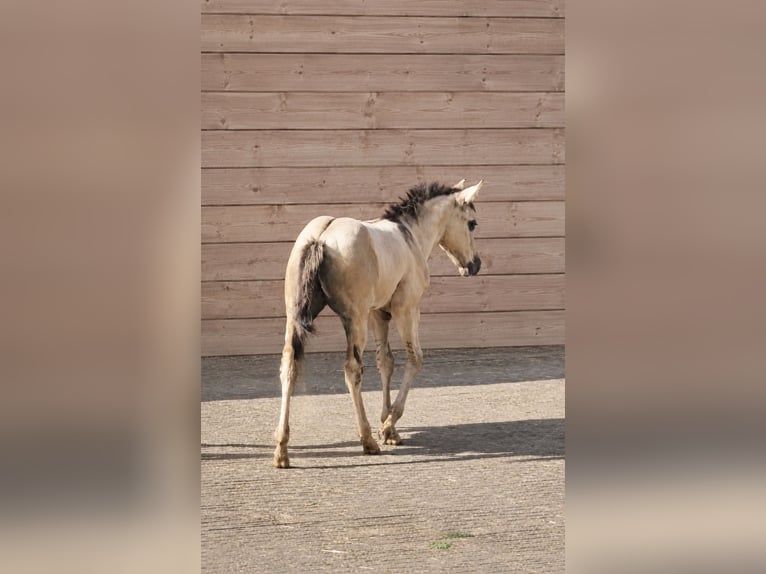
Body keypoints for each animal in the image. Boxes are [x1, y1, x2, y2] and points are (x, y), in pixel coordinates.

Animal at [274, 179, 483, 468]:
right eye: (472, 223)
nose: (474, 264)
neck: (409, 235)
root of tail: (320, 238)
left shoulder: (378, 314)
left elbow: (386, 361)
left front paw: (390, 427)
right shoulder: (406, 309)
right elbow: (415, 358)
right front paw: (387, 425)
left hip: (295, 318)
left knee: (289, 365)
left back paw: (282, 448)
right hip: (355, 320)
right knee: (352, 370)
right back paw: (367, 440)